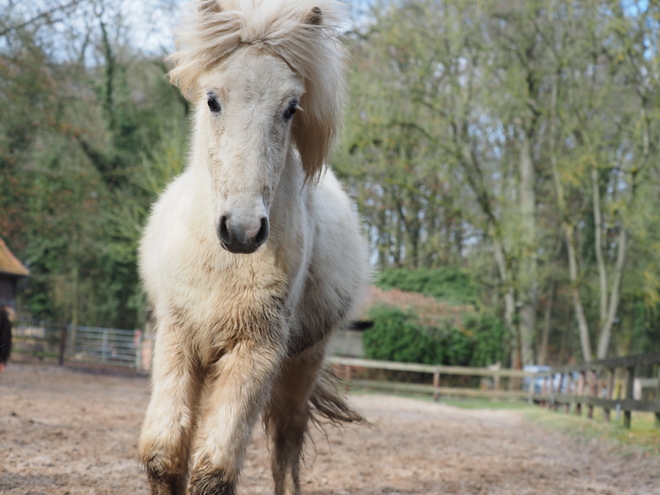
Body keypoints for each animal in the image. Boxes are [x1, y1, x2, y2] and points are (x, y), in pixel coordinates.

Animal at [137, 1, 368, 494]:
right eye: (212, 99)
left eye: (291, 107)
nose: (243, 230)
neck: (221, 265)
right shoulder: (176, 338)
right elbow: (164, 456)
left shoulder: (256, 352)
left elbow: (214, 471)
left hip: (301, 366)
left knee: (286, 443)